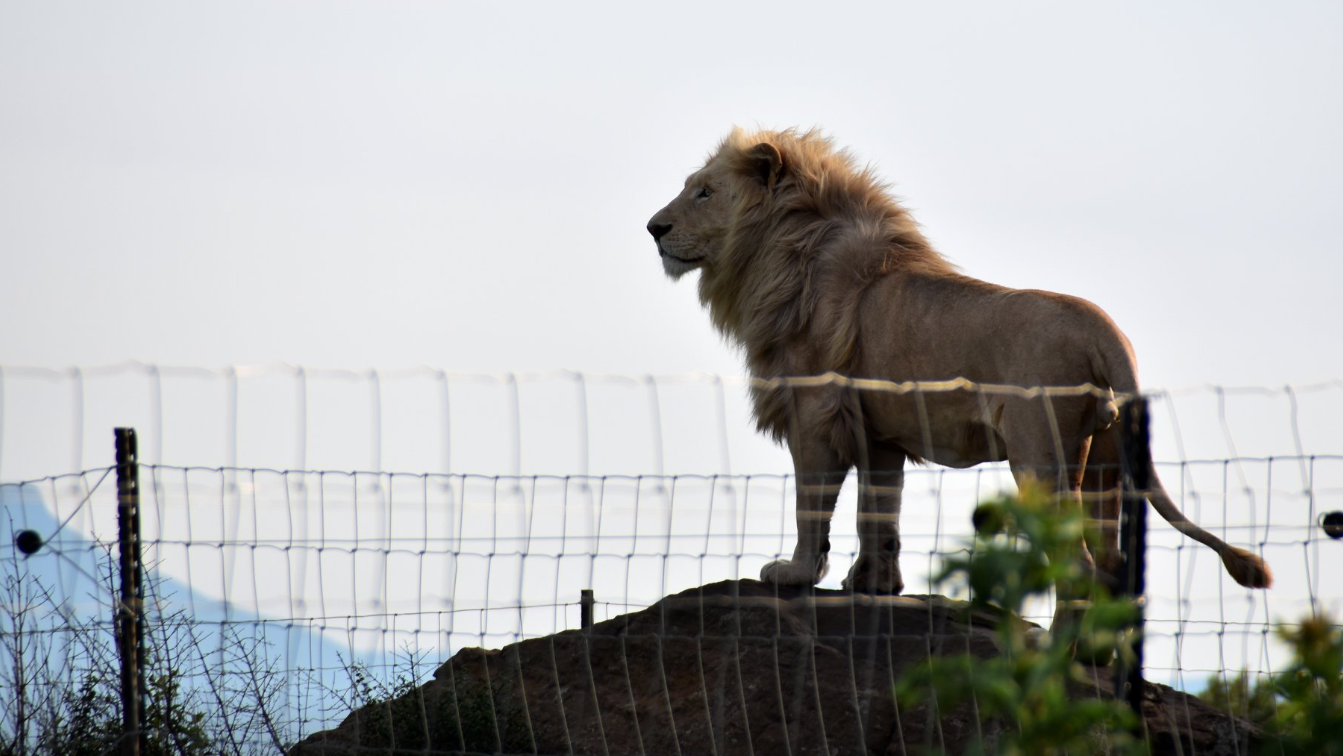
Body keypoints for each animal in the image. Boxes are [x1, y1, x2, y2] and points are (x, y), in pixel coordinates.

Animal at [647, 128, 1267, 604]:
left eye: (703, 192)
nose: (654, 228)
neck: (779, 254)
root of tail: (1107, 330)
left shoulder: (815, 412)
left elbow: (812, 504)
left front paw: (795, 575)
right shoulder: (879, 434)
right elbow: (879, 515)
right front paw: (873, 586)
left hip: (1040, 454)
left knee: (1079, 567)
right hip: (1105, 462)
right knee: (1113, 572)